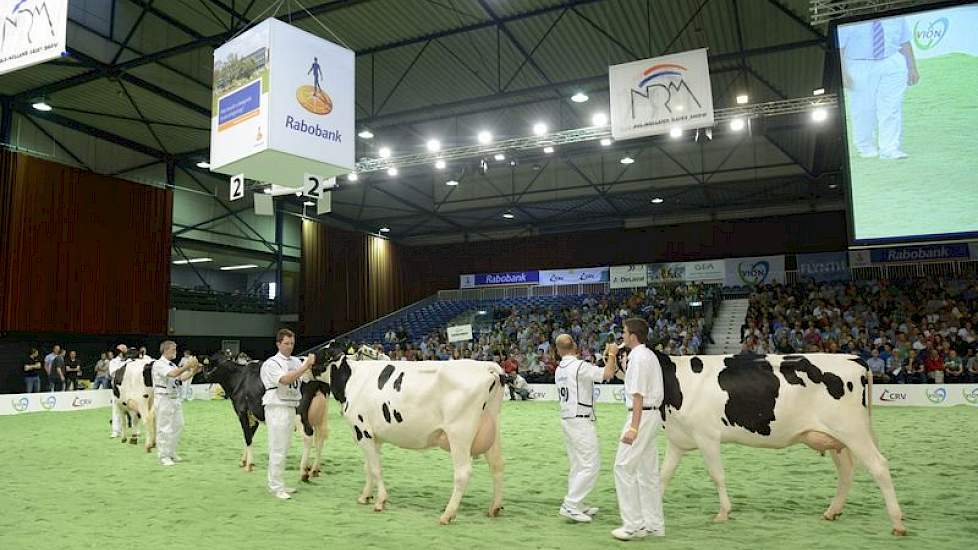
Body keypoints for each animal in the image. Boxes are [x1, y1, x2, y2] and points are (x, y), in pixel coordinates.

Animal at [322, 358, 504, 528]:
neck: (353, 378)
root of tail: (486, 366)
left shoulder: (362, 431)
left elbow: (375, 469)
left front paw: (380, 501)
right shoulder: (373, 437)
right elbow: (368, 467)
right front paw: (365, 496)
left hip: (459, 432)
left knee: (463, 473)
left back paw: (447, 515)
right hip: (492, 428)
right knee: (497, 466)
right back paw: (494, 508)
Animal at [652, 354, 904, 540]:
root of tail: (854, 358)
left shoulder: (707, 436)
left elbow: (717, 476)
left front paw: (723, 513)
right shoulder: (678, 440)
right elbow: (663, 476)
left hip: (853, 431)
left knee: (879, 466)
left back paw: (898, 523)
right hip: (836, 438)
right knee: (846, 472)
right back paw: (832, 511)